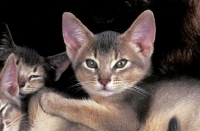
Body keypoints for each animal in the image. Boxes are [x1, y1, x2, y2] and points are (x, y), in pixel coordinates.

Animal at [40, 9, 200, 130]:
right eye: (91, 63)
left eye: (121, 63)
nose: (104, 80)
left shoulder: (126, 120)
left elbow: (86, 109)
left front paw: (51, 100)